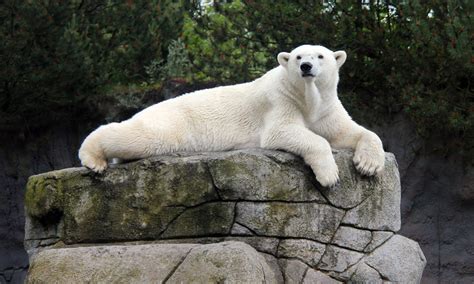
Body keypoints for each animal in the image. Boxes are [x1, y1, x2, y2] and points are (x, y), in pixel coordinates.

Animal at [79, 45, 386, 186]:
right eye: (299, 56)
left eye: (321, 56)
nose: (306, 67)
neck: (307, 97)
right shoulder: (281, 100)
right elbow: (283, 132)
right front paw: (329, 175)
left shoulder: (326, 108)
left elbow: (349, 131)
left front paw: (369, 164)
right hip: (172, 123)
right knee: (141, 137)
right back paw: (93, 158)